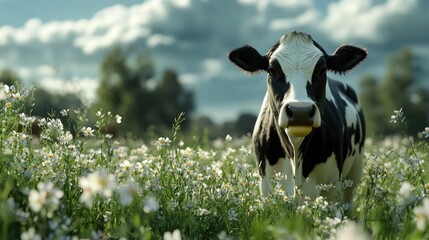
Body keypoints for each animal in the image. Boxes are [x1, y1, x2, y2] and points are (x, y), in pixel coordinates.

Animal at [227, 31, 364, 204]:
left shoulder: (333, 189)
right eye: (272, 71)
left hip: (355, 171)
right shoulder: (265, 187)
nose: (300, 111)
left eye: (322, 70)